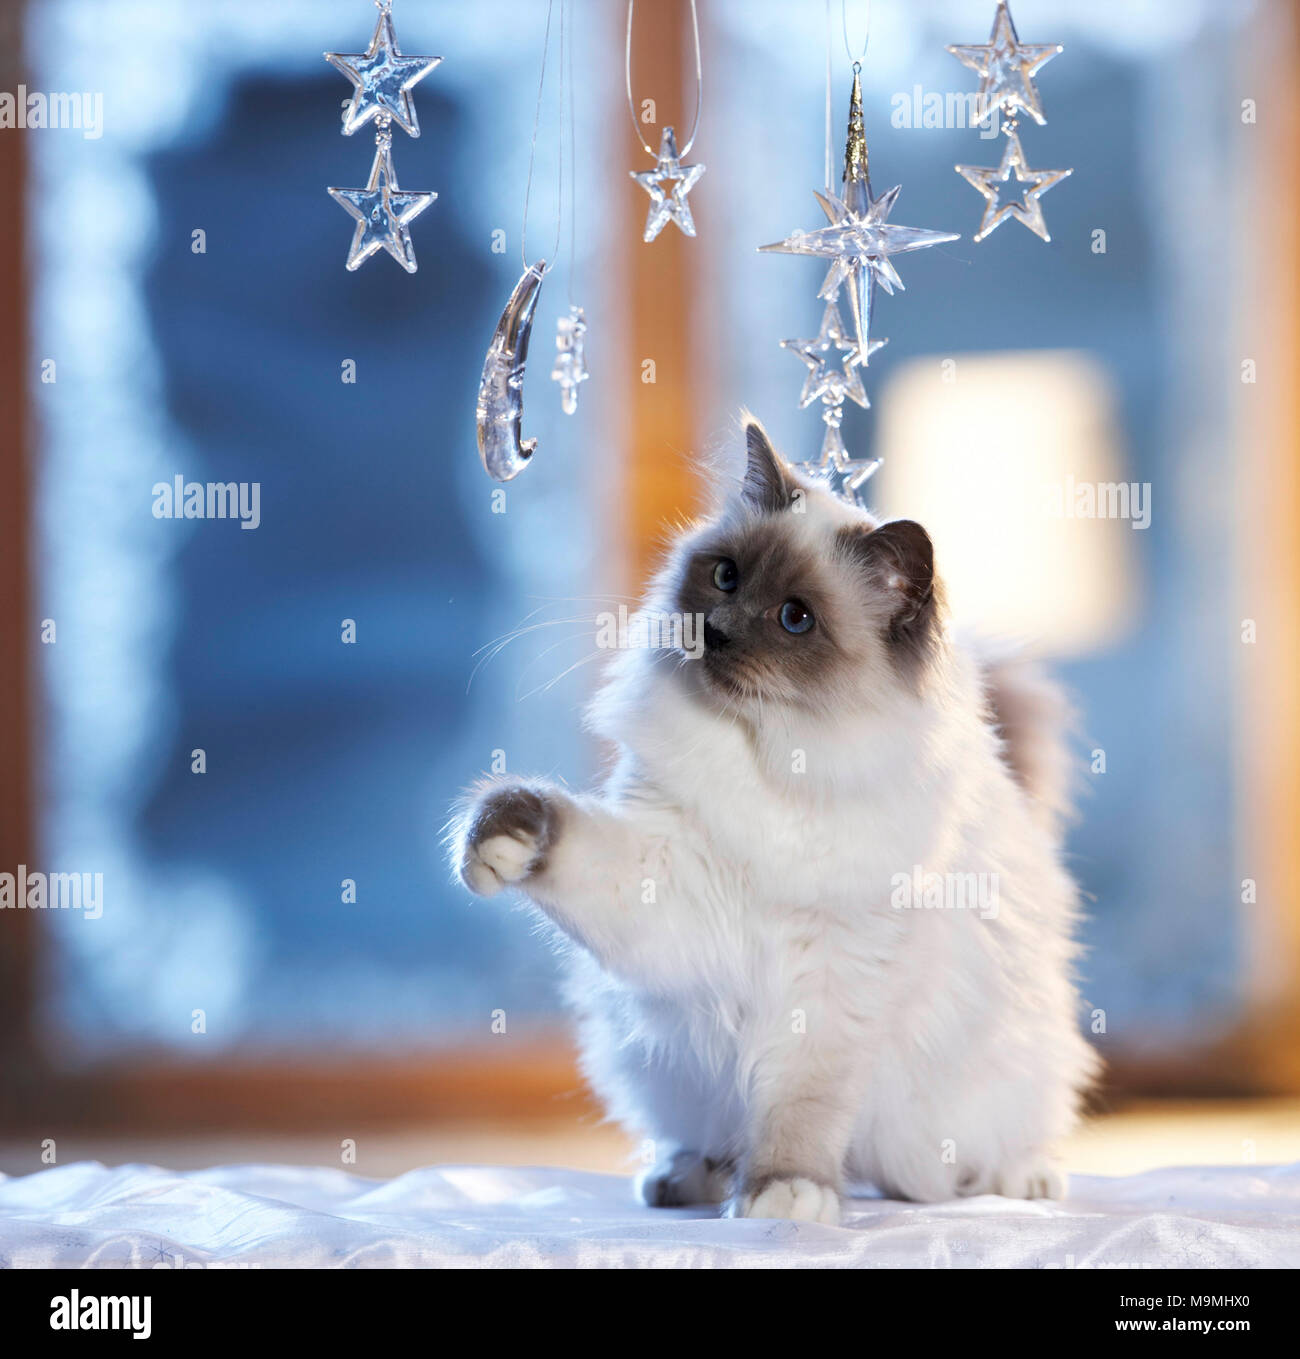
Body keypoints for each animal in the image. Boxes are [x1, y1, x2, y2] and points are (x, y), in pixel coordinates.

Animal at [450, 413, 1103, 1223]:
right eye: (725, 576)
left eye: (796, 618)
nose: (716, 631)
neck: (773, 761)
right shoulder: (666, 881)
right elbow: (554, 829)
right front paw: (501, 840)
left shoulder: (832, 979)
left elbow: (801, 1105)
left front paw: (785, 1193)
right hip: (660, 1067)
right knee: (701, 1134)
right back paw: (687, 1178)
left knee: (1008, 1138)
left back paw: (1018, 1181)